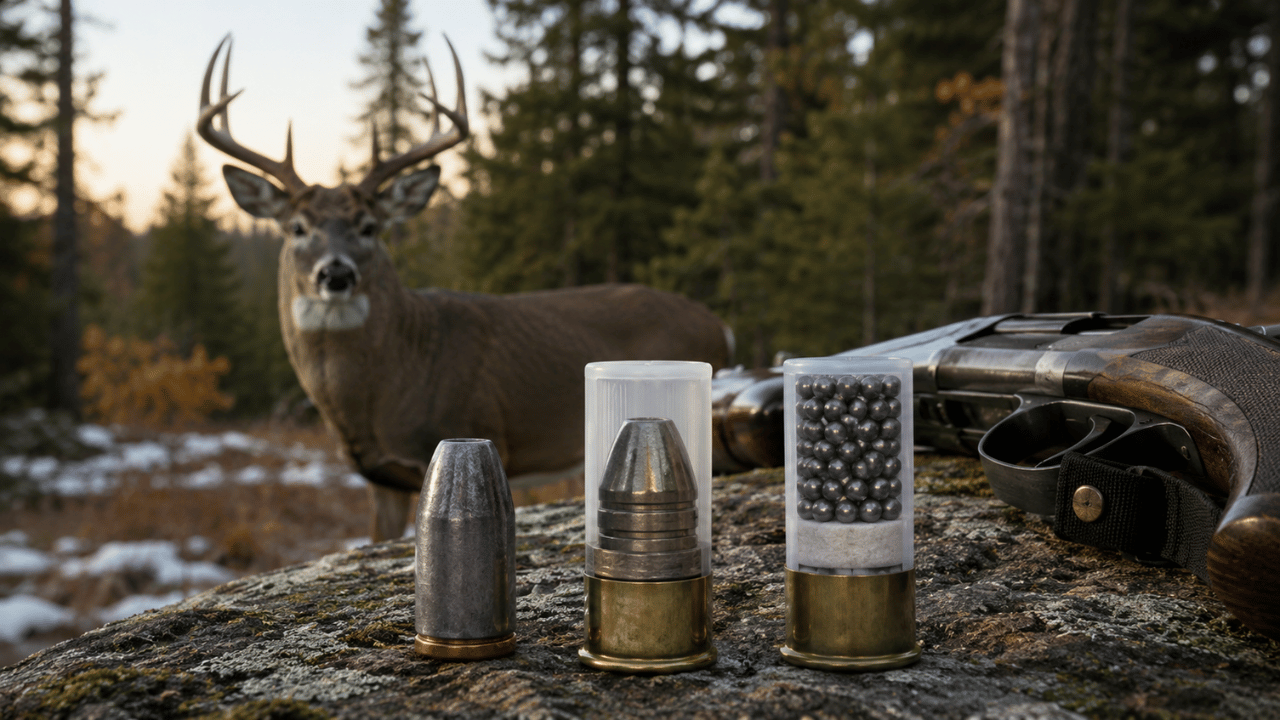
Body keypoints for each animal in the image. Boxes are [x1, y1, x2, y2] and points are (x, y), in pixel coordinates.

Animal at [196, 36, 732, 542]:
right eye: (297, 228)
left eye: (369, 226)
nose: (336, 274)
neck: (389, 387)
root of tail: (719, 326)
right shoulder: (381, 479)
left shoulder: (486, 428)